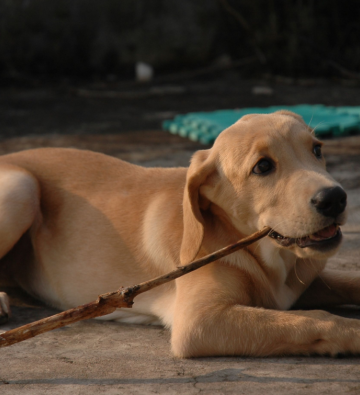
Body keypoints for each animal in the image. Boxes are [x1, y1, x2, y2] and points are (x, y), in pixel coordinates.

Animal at [0, 111, 360, 358]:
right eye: (262, 167)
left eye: (317, 150)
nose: (335, 198)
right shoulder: (200, 322)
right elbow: (313, 319)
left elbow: (347, 283)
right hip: (21, 187)